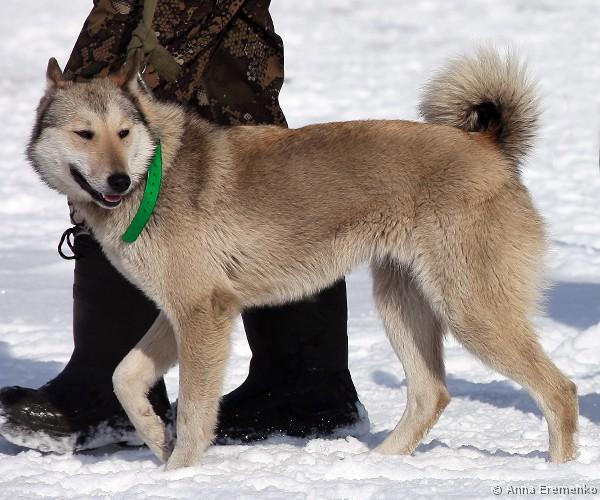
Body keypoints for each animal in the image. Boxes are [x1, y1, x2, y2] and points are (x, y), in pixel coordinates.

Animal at [26, 48, 578, 469]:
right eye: (84, 133)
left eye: (122, 133)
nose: (118, 181)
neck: (157, 170)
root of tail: (489, 148)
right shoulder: (182, 311)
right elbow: (124, 377)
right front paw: (157, 440)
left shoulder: (204, 313)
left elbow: (196, 411)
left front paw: (179, 474)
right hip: (402, 302)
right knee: (431, 395)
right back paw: (378, 466)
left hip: (470, 310)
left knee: (560, 391)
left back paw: (557, 471)